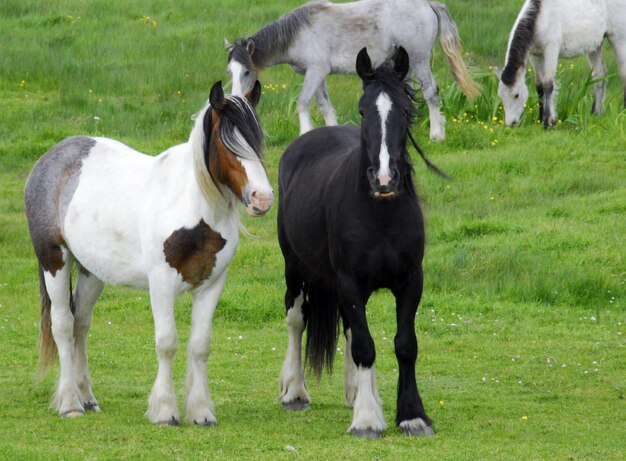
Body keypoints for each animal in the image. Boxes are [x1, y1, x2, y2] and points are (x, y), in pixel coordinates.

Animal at [24, 81, 272, 426]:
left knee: (80, 324)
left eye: (257, 139)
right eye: (228, 144)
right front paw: (165, 411)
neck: (193, 208)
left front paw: (201, 412)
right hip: (54, 261)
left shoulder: (212, 285)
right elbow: (167, 343)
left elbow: (200, 346)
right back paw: (70, 403)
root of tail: (50, 158)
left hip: (91, 271)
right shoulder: (162, 282)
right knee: (62, 324)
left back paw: (87, 398)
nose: (263, 198)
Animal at [227, 0, 476, 140]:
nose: (237, 98)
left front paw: (304, 134)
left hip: (419, 59)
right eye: (230, 72)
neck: (299, 32)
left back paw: (436, 135)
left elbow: (303, 102)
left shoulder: (316, 71)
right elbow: (324, 106)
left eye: (246, 72)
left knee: (431, 93)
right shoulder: (317, 75)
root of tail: (428, 5)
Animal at [276, 47, 432, 438]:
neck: (381, 216)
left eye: (404, 111)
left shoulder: (411, 281)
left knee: (348, 328)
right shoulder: (349, 281)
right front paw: (366, 420)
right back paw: (295, 391)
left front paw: (411, 414)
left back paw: (358, 392)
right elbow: (365, 346)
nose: (384, 179)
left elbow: (404, 345)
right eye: (363, 111)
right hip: (295, 269)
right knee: (296, 319)